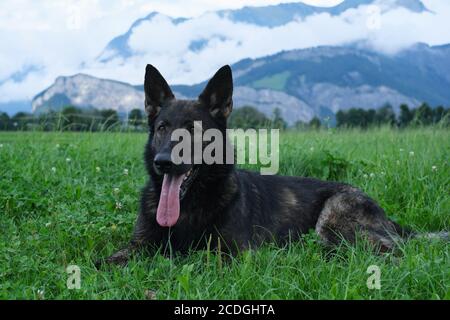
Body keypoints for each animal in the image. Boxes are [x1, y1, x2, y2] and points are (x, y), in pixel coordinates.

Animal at [98, 64, 446, 264]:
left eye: (193, 130)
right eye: (162, 128)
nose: (163, 163)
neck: (190, 209)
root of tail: (387, 218)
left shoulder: (231, 255)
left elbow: (190, 261)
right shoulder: (138, 245)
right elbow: (102, 262)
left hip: (333, 221)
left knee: (391, 253)